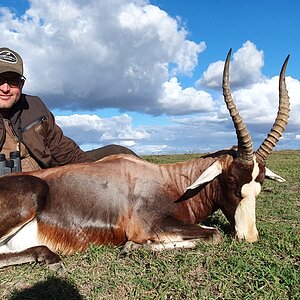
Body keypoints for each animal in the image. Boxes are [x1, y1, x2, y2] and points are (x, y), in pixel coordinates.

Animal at [0, 49, 290, 268]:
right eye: (231, 182)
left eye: (260, 185)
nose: (249, 237)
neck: (172, 183)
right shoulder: (149, 226)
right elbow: (214, 234)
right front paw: (132, 247)